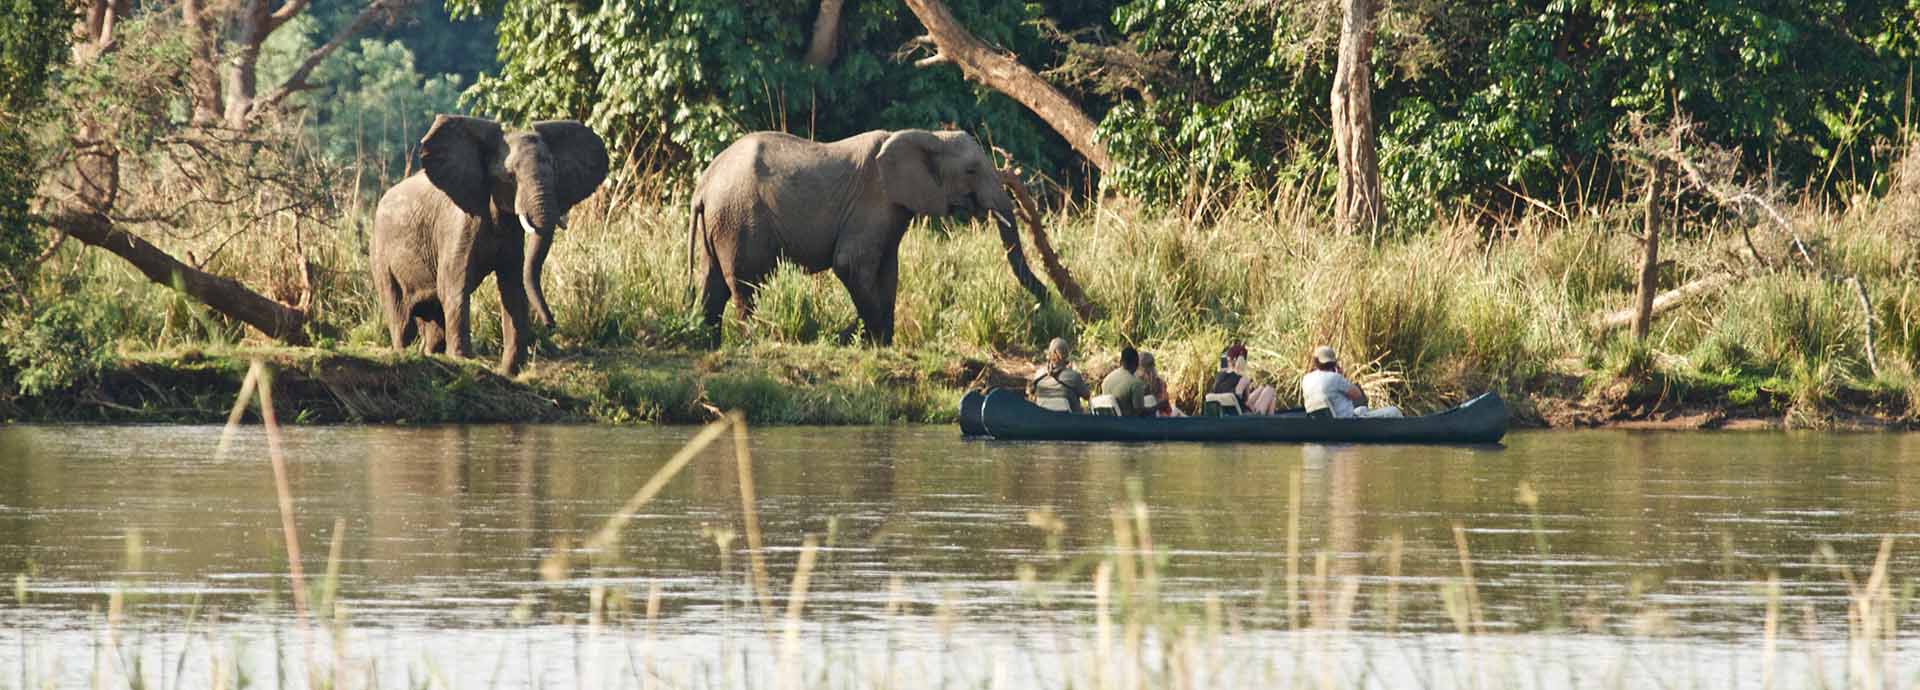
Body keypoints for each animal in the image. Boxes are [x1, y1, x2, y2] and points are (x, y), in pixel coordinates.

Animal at [370, 115, 608, 374]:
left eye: (555, 171)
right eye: (510, 176)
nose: (551, 324)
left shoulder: (511, 232)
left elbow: (513, 287)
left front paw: (511, 371)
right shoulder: (459, 224)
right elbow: (454, 285)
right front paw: (463, 361)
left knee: (433, 321)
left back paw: (431, 355)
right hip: (381, 256)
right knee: (401, 316)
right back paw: (405, 353)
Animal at [688, 129, 1048, 346]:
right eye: (971, 170)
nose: (1045, 301)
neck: (930, 136)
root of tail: (703, 184)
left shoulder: (894, 209)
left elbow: (889, 271)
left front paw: (880, 344)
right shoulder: (873, 201)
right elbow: (850, 265)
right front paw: (871, 340)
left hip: (720, 220)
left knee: (712, 281)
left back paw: (707, 343)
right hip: (740, 217)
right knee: (745, 283)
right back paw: (754, 340)